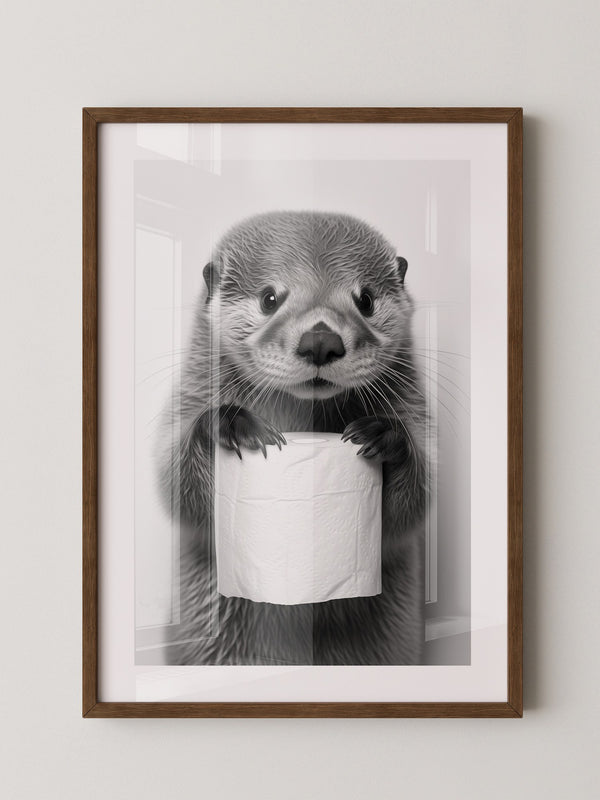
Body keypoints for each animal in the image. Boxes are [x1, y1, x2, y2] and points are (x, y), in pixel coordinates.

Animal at [158, 210, 428, 665]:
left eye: (365, 300)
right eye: (270, 298)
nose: (320, 340)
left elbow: (412, 510)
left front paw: (385, 434)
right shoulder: (192, 392)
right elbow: (178, 493)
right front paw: (230, 425)